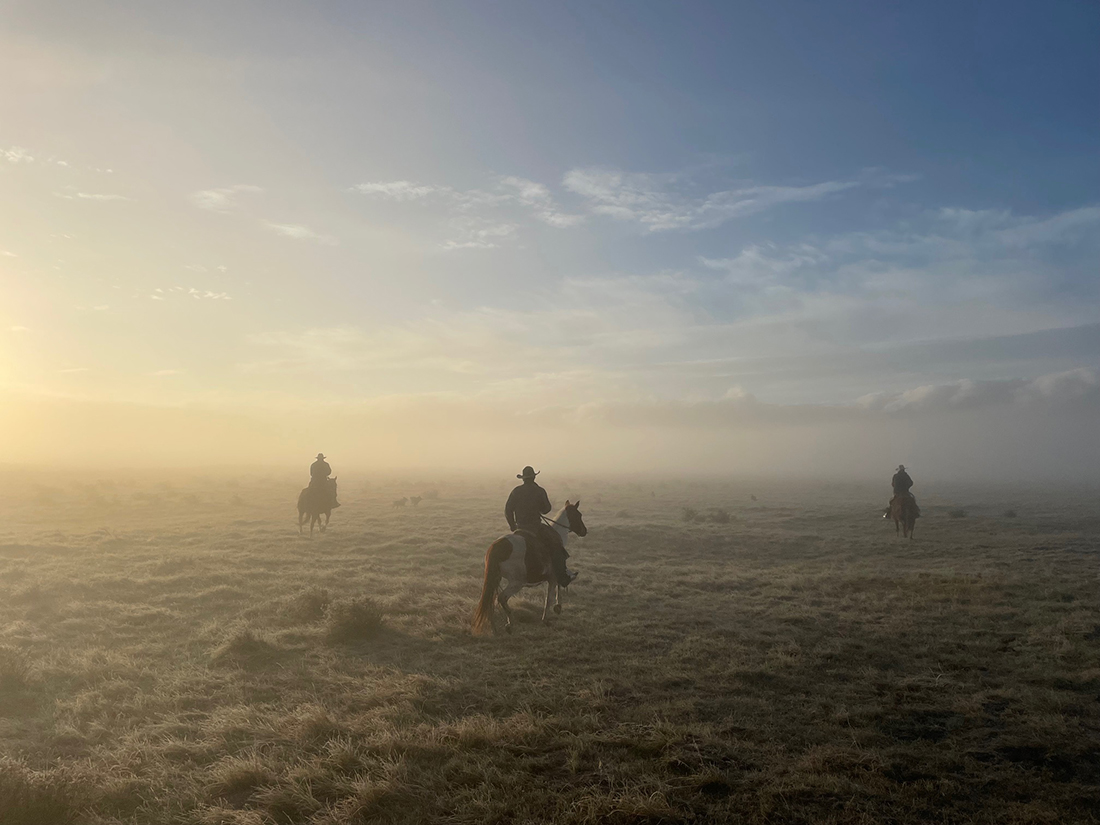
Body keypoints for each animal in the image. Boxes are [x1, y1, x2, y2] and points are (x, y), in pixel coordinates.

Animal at [475, 501, 594, 638]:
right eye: (579, 515)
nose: (584, 531)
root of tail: (497, 547)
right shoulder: (553, 577)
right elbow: (549, 597)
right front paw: (548, 617)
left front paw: (557, 607)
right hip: (517, 583)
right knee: (501, 598)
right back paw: (510, 624)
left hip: (495, 579)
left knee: (490, 600)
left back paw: (493, 628)